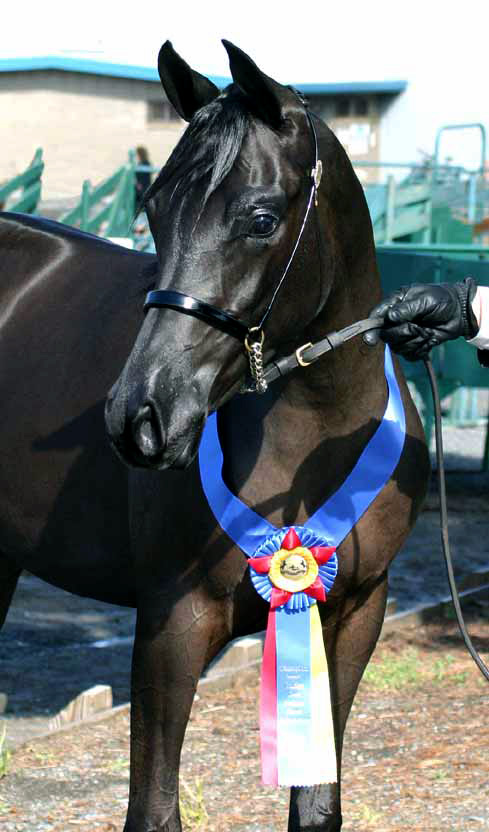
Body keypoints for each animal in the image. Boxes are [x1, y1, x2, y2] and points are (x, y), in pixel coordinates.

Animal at [0, 42, 428, 832]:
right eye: (154, 209)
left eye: (260, 219)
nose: (141, 415)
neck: (315, 443)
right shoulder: (173, 625)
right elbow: (152, 810)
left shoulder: (356, 614)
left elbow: (316, 807)